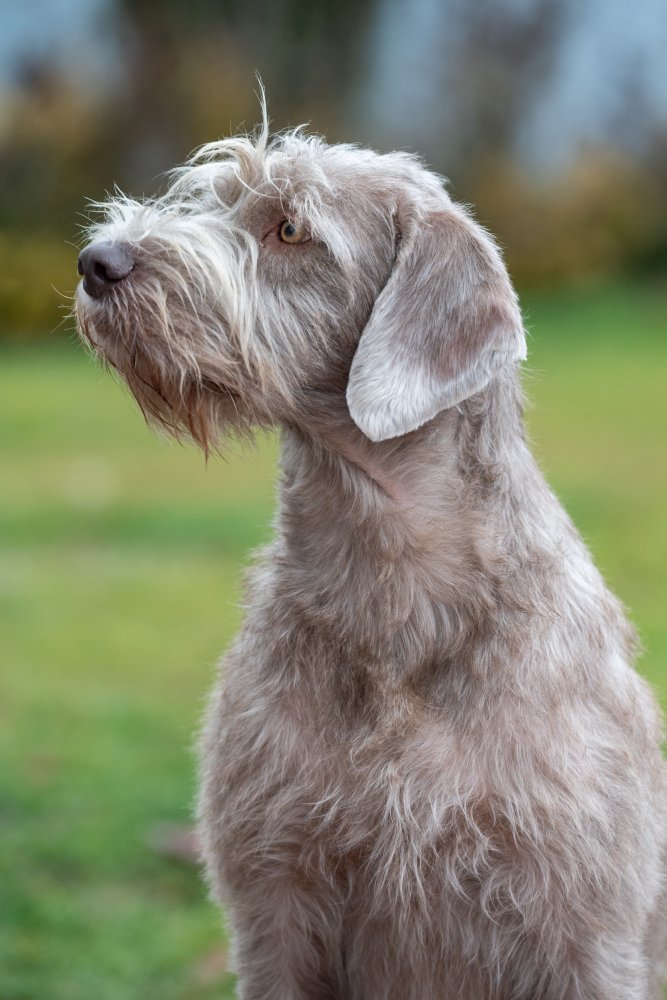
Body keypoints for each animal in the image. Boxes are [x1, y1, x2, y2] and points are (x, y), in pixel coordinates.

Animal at [75, 118, 667, 999]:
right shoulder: (274, 899)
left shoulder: (580, 919)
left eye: (290, 229)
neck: (391, 588)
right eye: (211, 198)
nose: (96, 261)